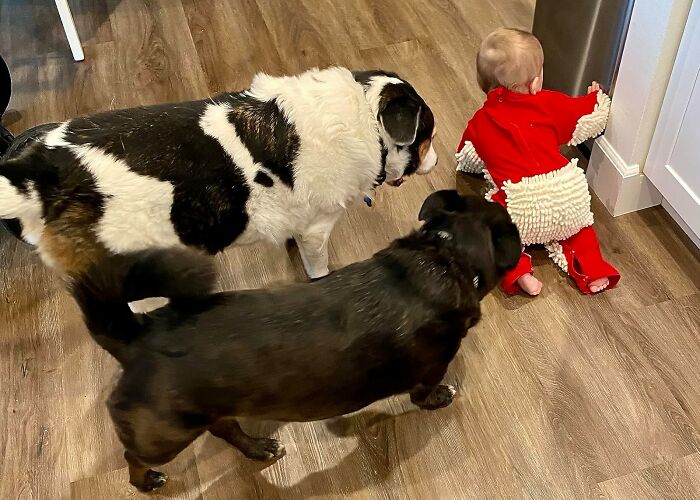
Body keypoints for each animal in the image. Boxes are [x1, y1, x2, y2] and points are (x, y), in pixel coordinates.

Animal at [0, 67, 434, 278]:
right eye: (427, 135)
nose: (438, 159)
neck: (363, 114)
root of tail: (41, 170)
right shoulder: (317, 229)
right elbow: (318, 267)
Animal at [69, 191, 520, 492]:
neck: (446, 255)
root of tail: (136, 335)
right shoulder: (431, 369)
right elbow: (425, 394)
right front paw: (441, 398)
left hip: (206, 412)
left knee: (227, 430)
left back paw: (258, 449)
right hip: (163, 435)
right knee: (133, 456)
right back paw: (145, 481)